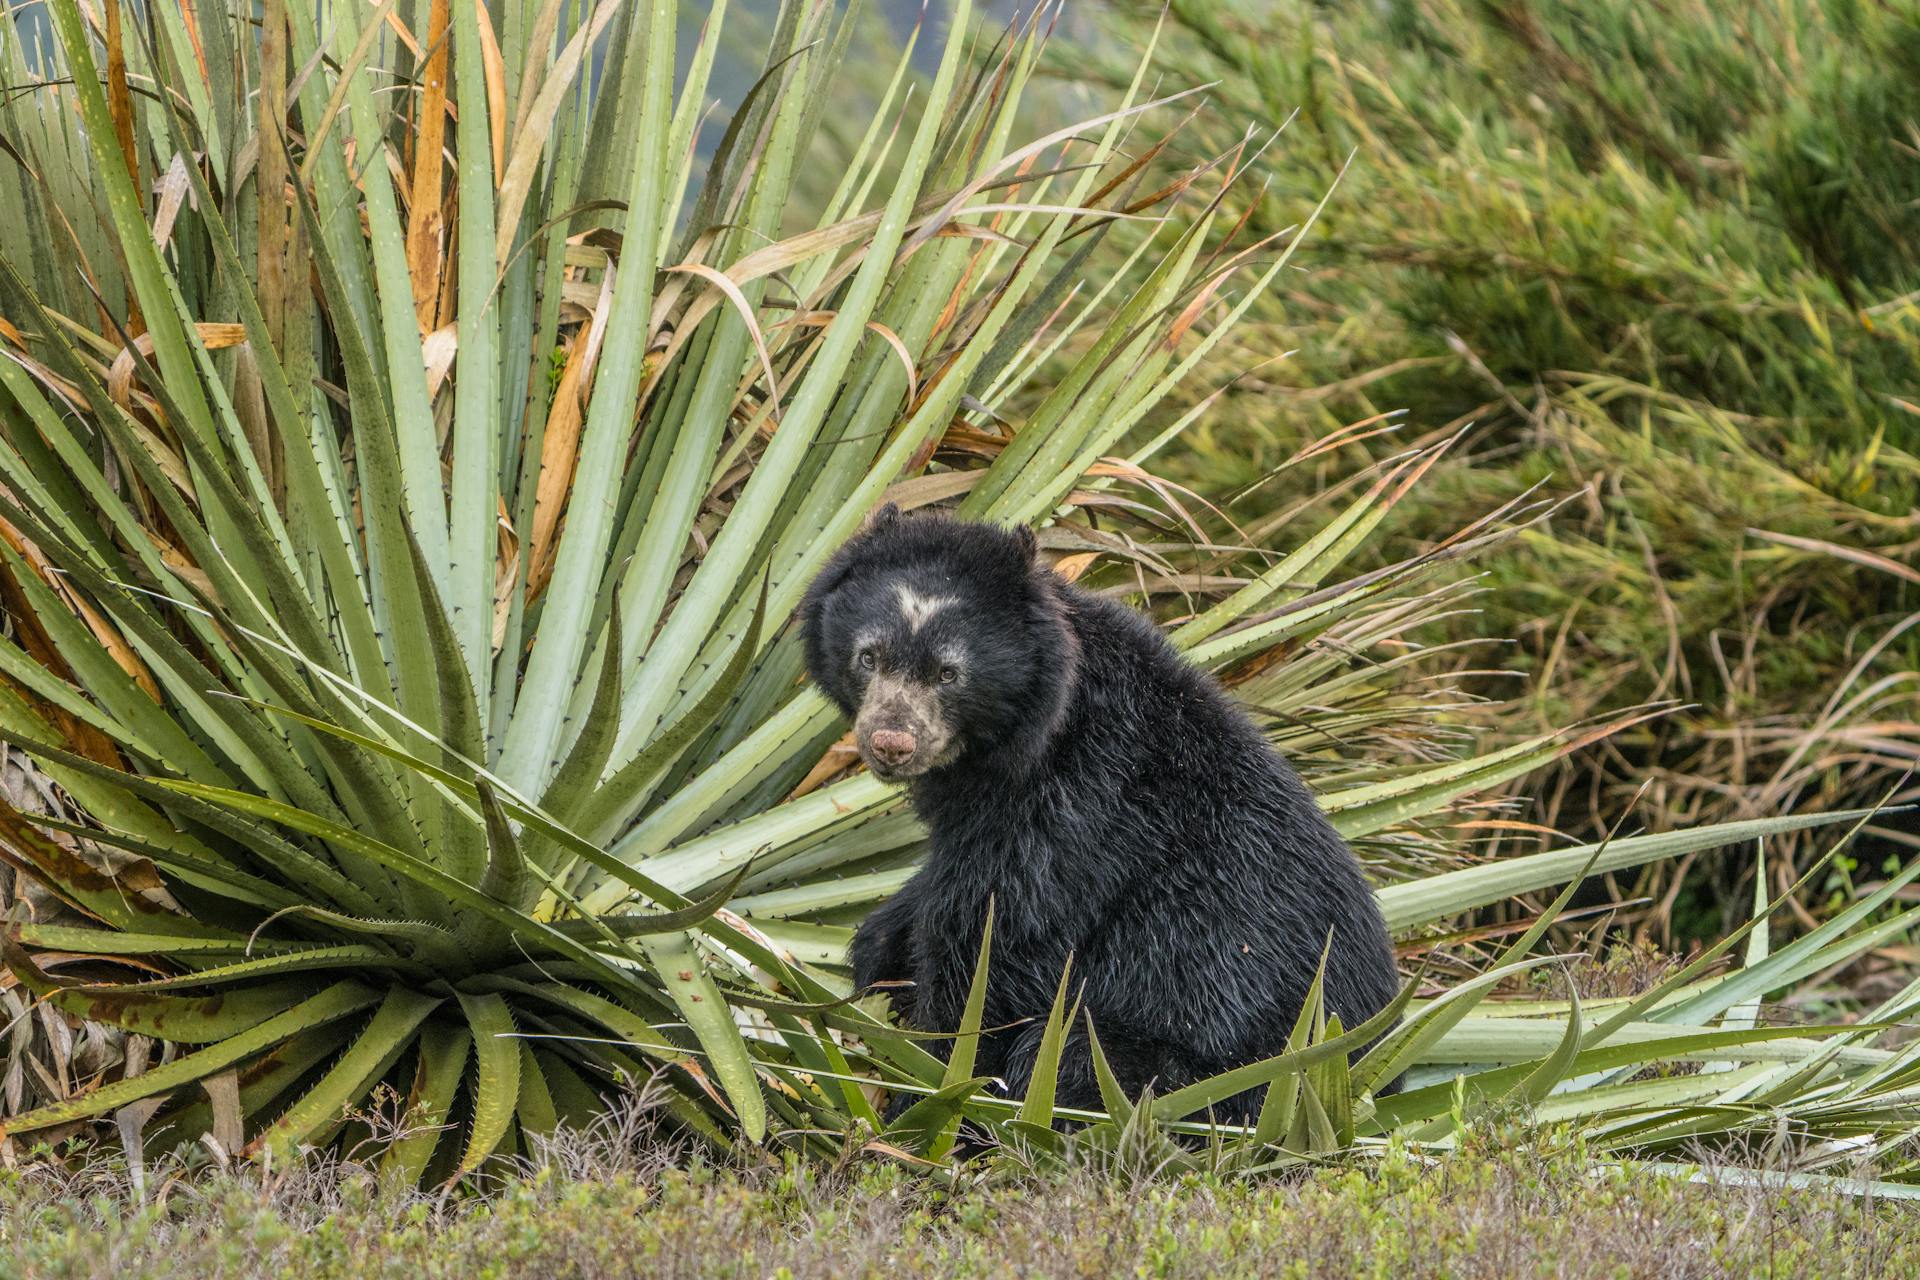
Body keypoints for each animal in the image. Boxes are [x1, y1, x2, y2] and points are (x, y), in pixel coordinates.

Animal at [802, 502, 1405, 1120]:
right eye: (869, 656)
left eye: (949, 673)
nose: (891, 743)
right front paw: (878, 951)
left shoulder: (1069, 818)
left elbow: (990, 950)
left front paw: (921, 1098)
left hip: (1206, 1075)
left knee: (1070, 1054)